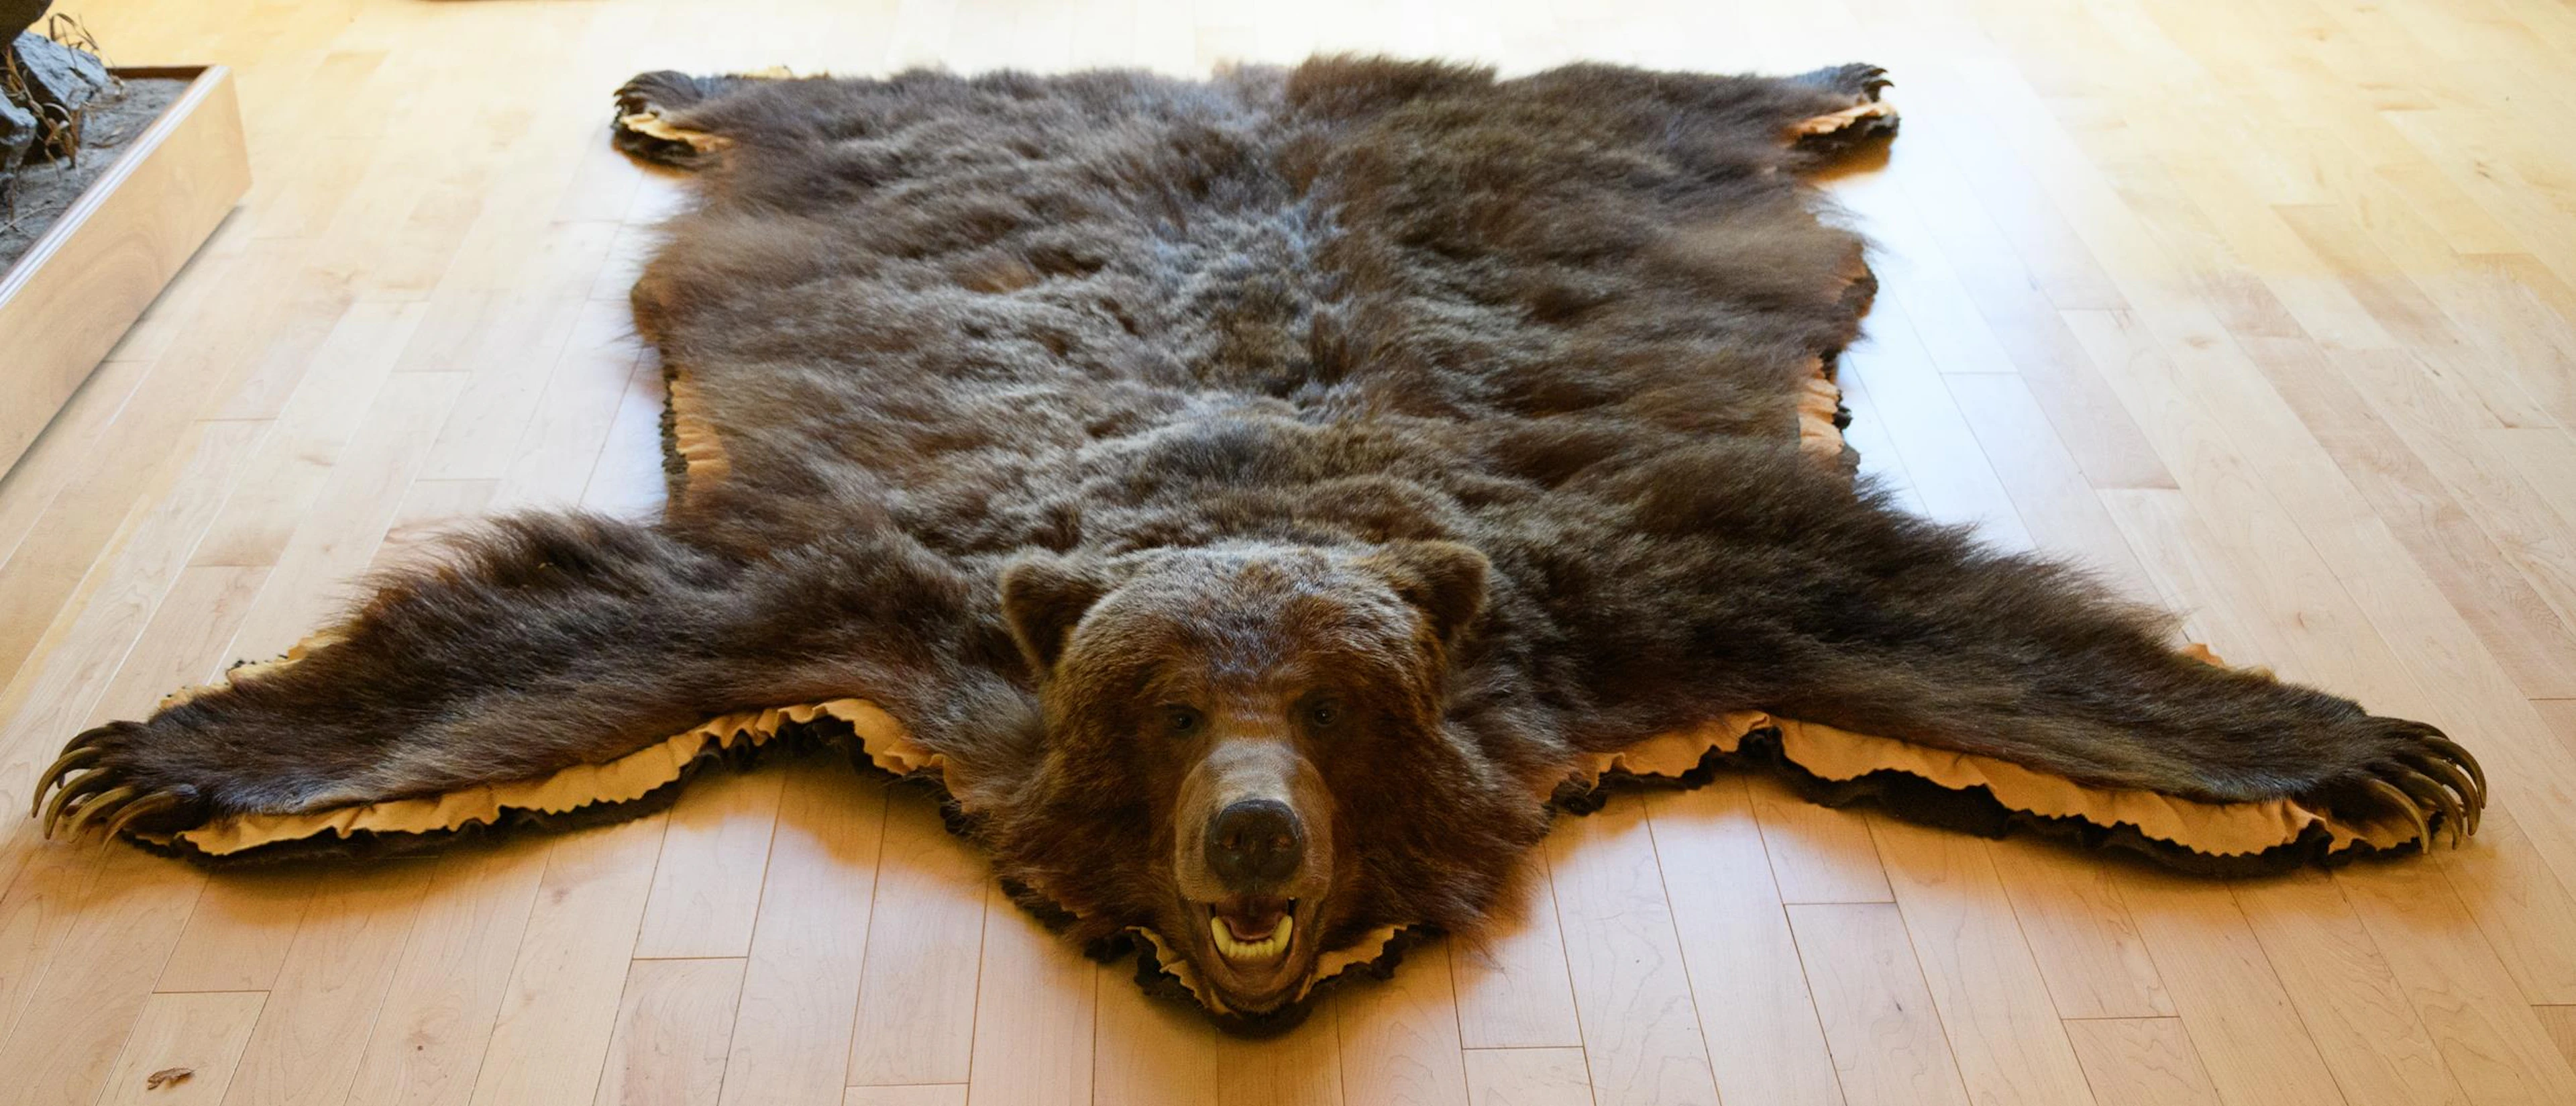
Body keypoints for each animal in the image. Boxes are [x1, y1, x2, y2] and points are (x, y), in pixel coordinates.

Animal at [32, 56, 2479, 1029]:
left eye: (1332, 703)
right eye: (1156, 706)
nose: (1255, 840)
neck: (1244, 497)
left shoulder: (1637, 583)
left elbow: (1927, 623)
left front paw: (2363, 751)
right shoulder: (866, 579)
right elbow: (578, 631)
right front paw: (162, 753)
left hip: (1612, 140)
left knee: (1686, 97)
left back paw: (1834, 72)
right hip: (890, 138)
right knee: (820, 96)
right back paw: (681, 81)